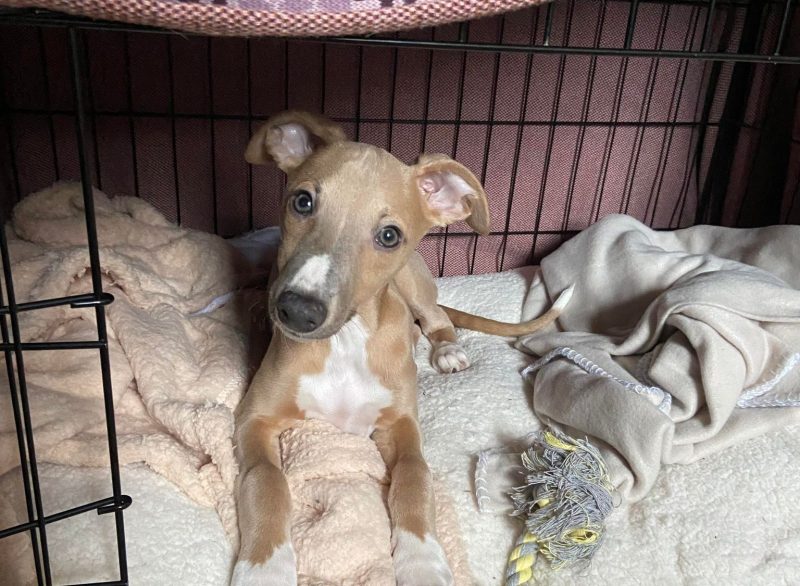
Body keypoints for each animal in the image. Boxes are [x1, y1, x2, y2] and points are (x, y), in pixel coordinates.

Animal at [230, 110, 568, 584]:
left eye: (389, 236)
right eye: (303, 202)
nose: (296, 311)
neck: (347, 340)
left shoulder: (402, 425)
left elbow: (413, 477)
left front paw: (422, 560)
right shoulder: (254, 417)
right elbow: (266, 480)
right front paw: (264, 567)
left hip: (413, 281)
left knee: (438, 318)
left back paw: (447, 351)